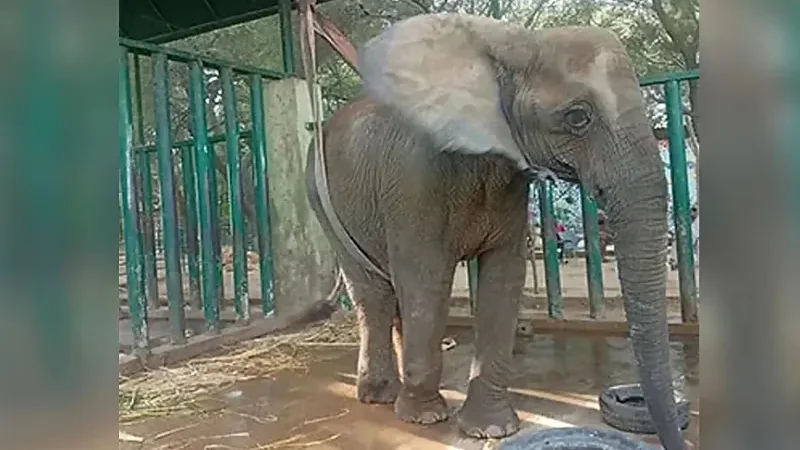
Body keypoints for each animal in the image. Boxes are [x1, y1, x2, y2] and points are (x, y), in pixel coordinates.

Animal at [305, 13, 685, 450]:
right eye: (577, 117)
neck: (509, 50)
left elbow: (503, 279)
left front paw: (492, 429)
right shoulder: (414, 178)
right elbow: (426, 281)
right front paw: (426, 418)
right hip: (322, 199)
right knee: (374, 293)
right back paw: (382, 395)